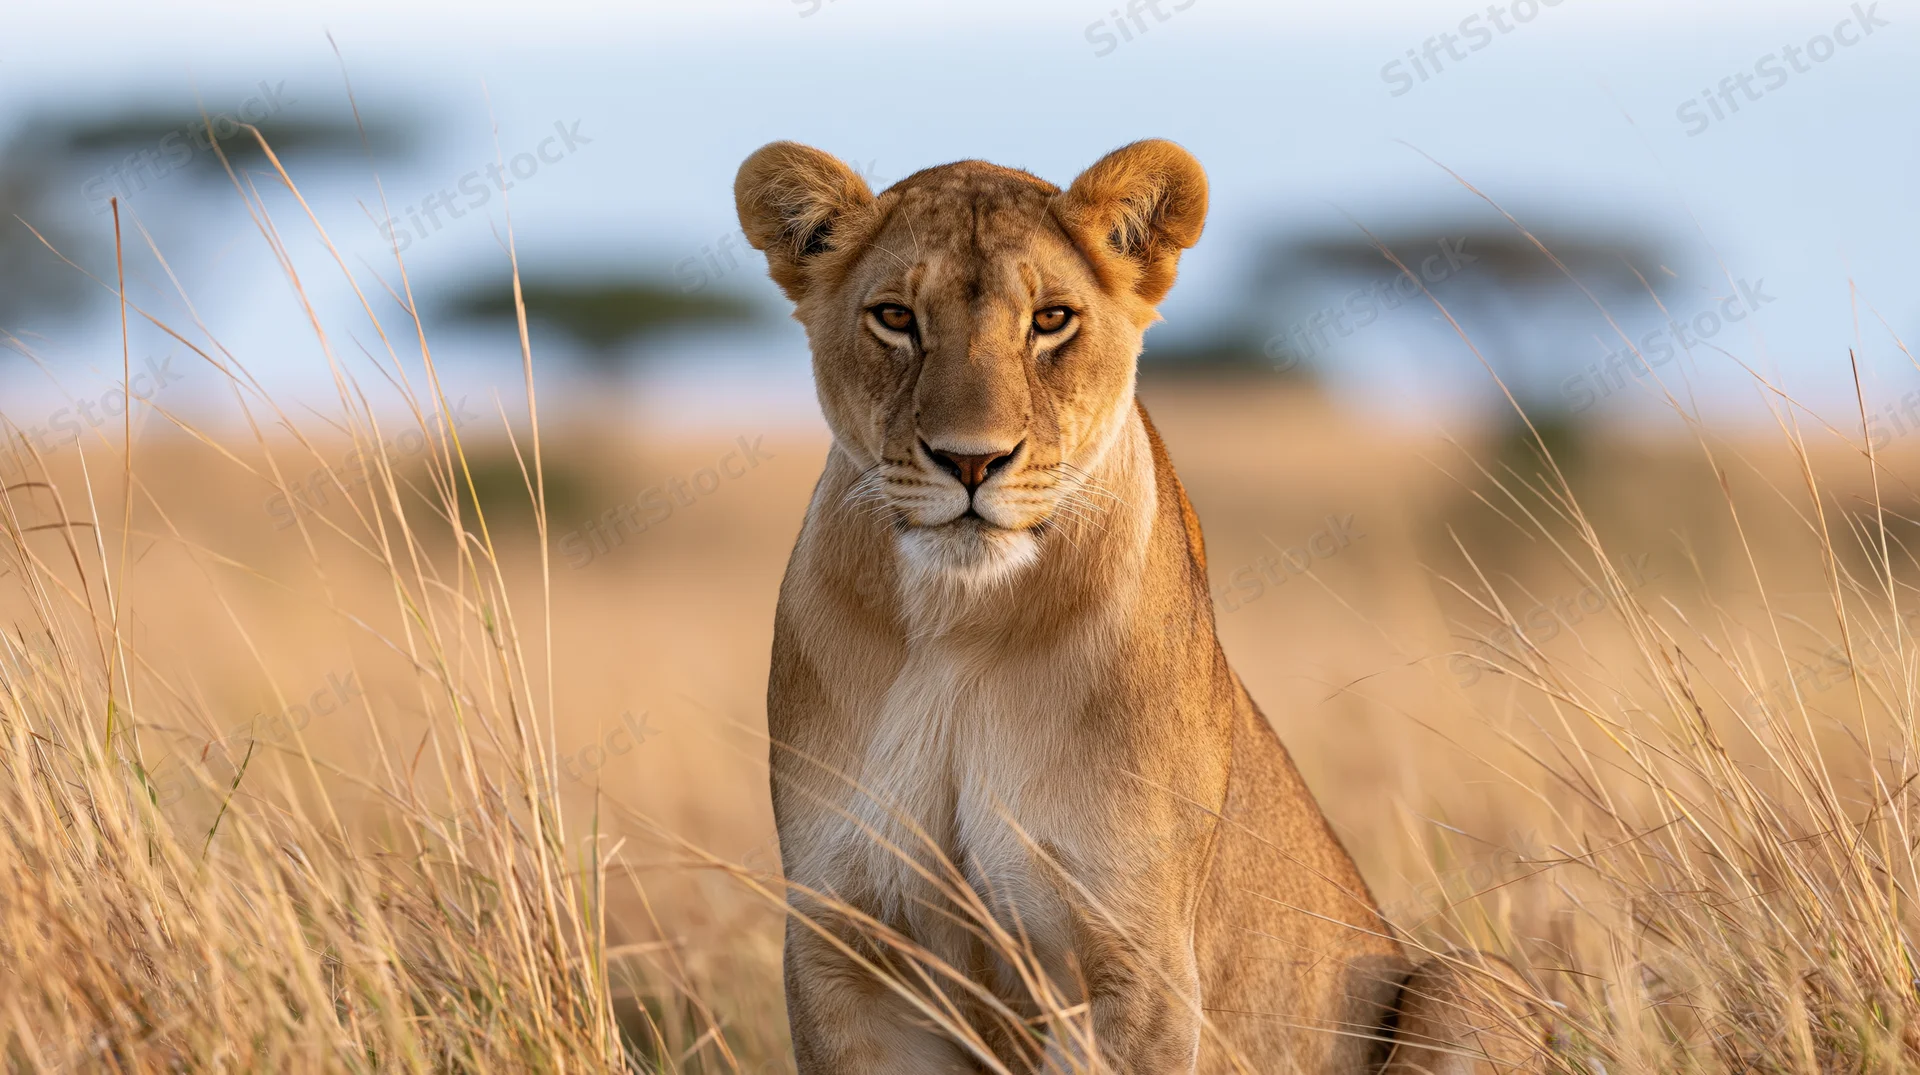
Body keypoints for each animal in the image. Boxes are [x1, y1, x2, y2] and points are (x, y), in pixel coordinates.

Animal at [736, 139, 1540, 1074]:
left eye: (1051, 320)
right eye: (895, 317)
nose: (971, 461)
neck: (957, 626)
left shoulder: (1138, 957)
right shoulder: (841, 949)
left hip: (1470, 978)